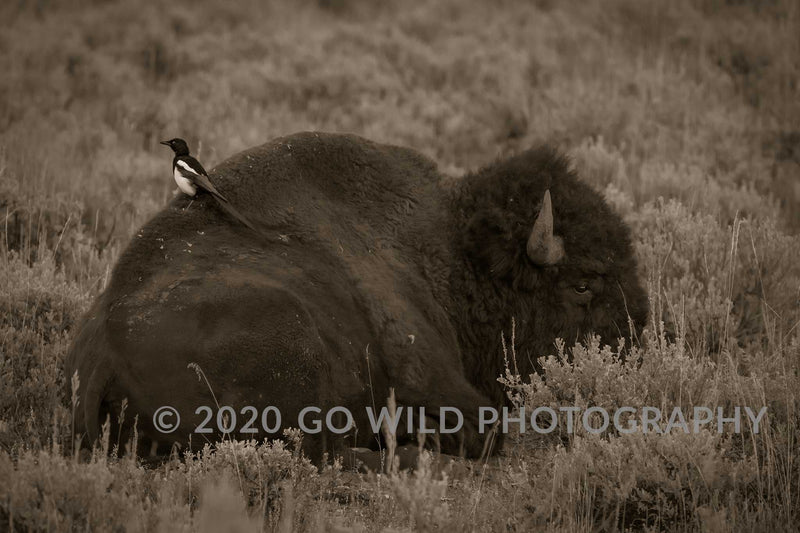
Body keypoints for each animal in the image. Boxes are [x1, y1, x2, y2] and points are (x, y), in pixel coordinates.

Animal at [66, 132, 648, 462]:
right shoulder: (436, 379)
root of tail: (100, 359)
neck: (449, 252)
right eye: (583, 284)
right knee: (325, 450)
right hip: (292, 337)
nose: (637, 344)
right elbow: (485, 428)